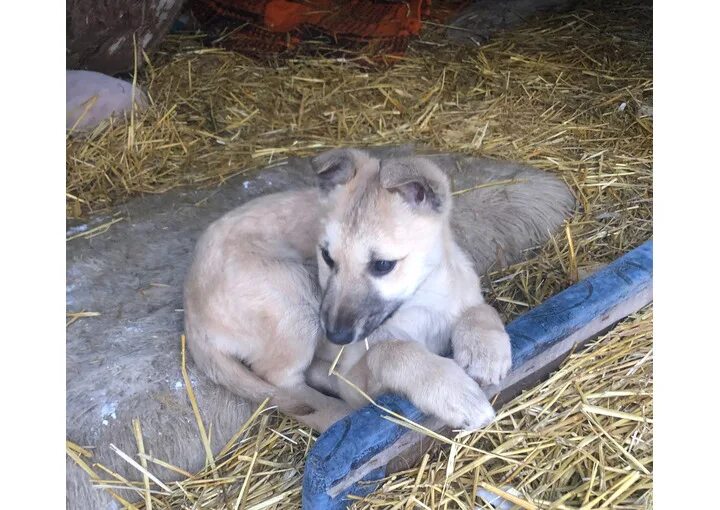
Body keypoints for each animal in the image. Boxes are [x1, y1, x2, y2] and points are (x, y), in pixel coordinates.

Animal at [186, 149, 512, 432]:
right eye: (327, 257)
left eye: (382, 265)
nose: (335, 336)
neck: (422, 302)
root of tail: (189, 313)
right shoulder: (358, 374)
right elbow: (392, 350)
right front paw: (454, 392)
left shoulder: (464, 290)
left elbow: (481, 309)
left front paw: (485, 351)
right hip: (293, 293)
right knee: (285, 382)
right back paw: (339, 416)